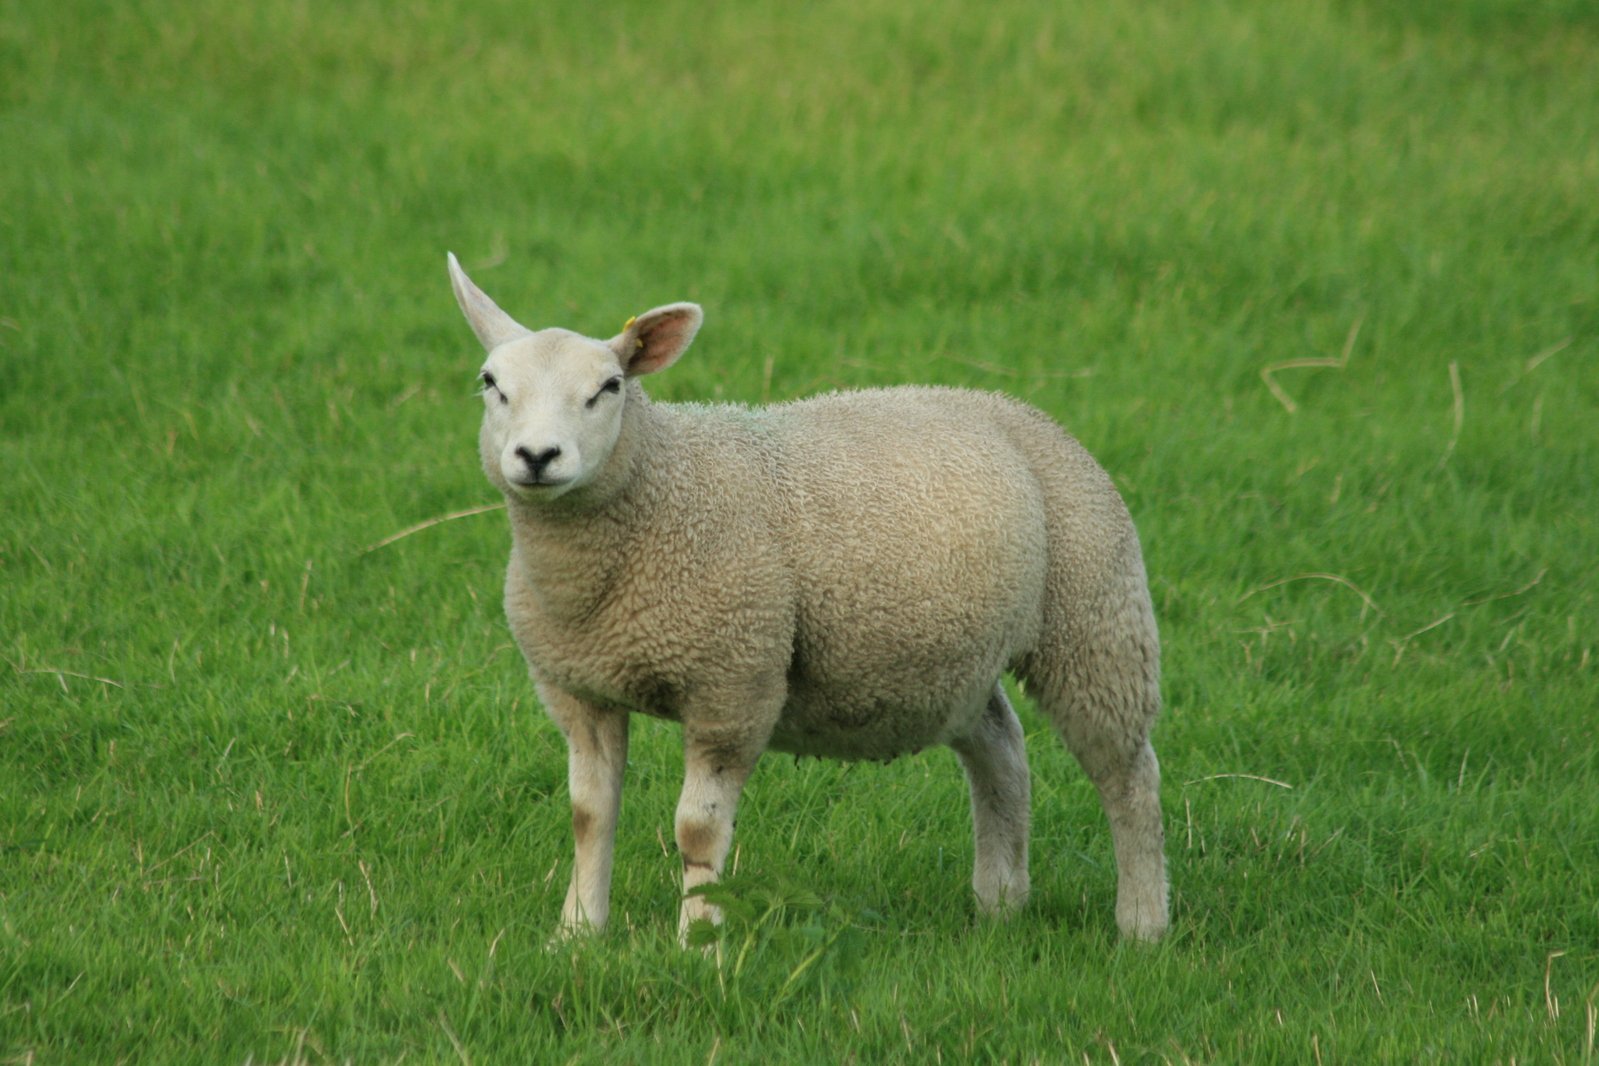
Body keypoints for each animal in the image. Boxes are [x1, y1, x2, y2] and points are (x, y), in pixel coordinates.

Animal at [444, 254, 1170, 946]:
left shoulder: (733, 683)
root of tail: (1010, 406)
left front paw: (697, 944)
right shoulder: (578, 689)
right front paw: (574, 937)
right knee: (1001, 748)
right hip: (952, 660)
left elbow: (697, 830)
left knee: (1128, 776)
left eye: (608, 388)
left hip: (1097, 614)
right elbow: (589, 816)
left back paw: (1141, 925)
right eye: (491, 383)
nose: (537, 456)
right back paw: (1000, 903)